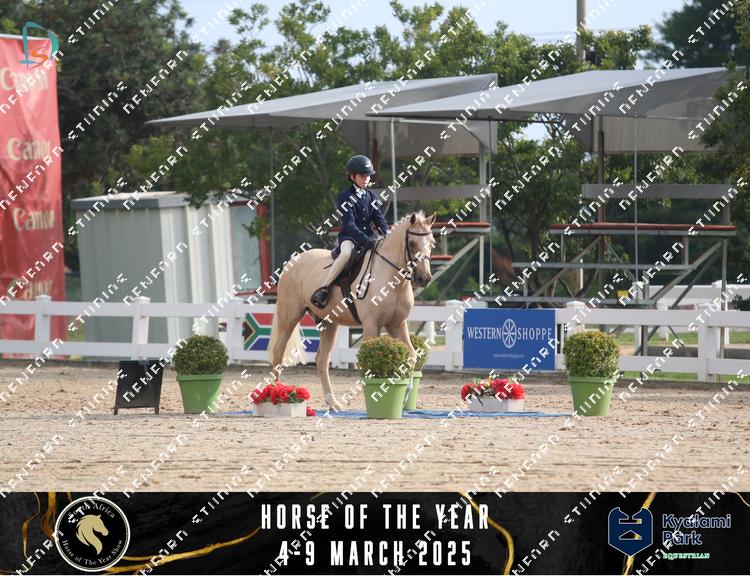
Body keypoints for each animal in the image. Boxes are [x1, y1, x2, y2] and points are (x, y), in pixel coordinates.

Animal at [268, 211, 437, 410]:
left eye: (432, 243)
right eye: (412, 243)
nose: (424, 278)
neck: (392, 279)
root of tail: (293, 261)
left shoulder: (397, 325)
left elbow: (411, 355)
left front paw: (405, 397)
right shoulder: (371, 325)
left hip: (329, 323)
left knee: (322, 360)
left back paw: (333, 402)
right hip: (290, 316)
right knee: (278, 352)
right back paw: (276, 394)